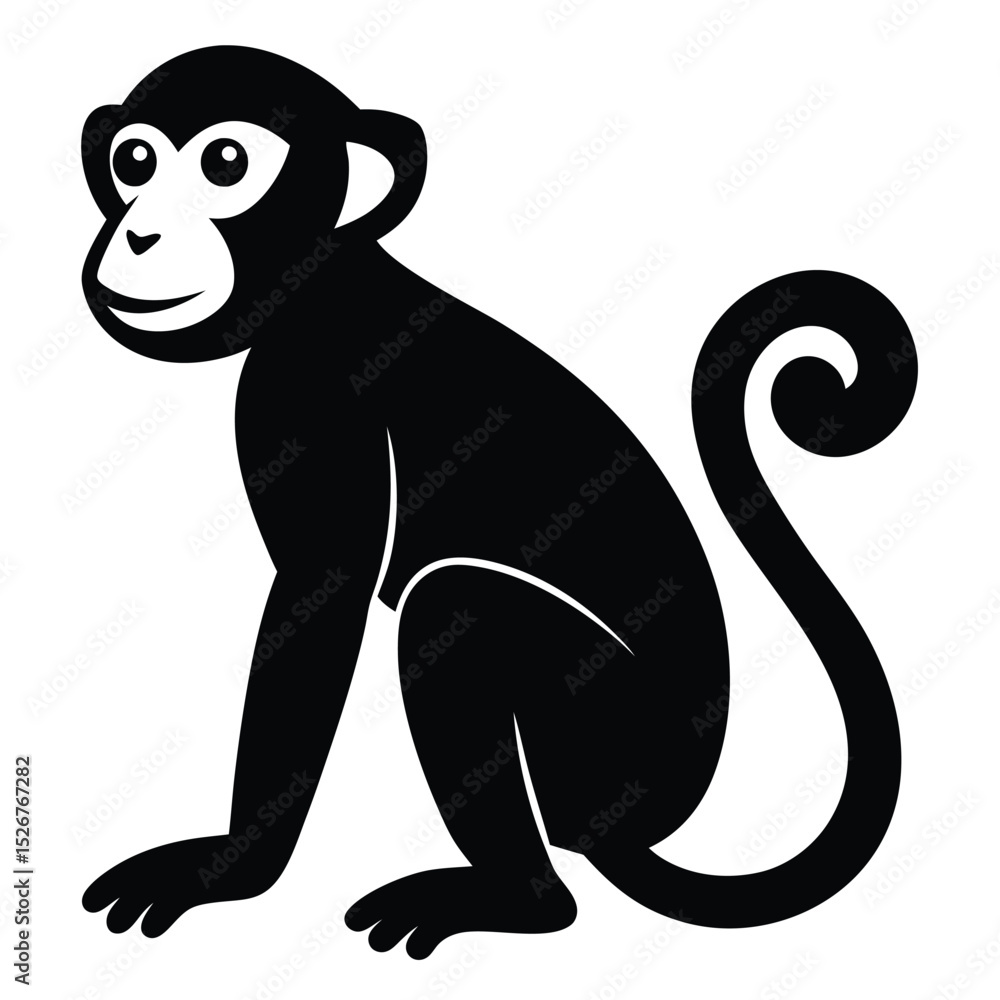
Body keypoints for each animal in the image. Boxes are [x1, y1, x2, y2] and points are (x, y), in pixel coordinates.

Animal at [79, 46, 917, 959]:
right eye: (134, 162)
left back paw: (519, 898)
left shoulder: (316, 397)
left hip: (604, 739)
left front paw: (228, 867)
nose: (141, 232)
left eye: (226, 163)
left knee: (458, 604)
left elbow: (321, 599)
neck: (328, 283)